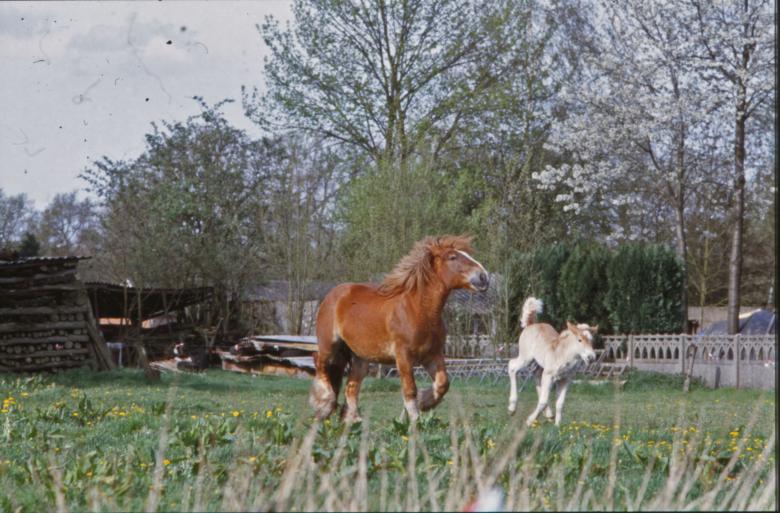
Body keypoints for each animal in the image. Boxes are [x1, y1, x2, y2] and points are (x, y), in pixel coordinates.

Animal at [310, 235, 490, 422]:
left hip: (360, 357)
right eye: (452, 257)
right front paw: (414, 420)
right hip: (329, 345)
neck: (419, 311)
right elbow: (410, 390)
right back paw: (324, 404)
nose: (484, 276)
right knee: (319, 363)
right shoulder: (403, 357)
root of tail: (332, 295)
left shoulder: (433, 356)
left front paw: (423, 403)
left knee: (351, 387)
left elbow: (442, 384)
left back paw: (354, 420)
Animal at [507, 297, 597, 426]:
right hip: (526, 357)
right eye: (579, 340)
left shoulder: (565, 380)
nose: (591, 357)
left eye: (592, 340)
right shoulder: (549, 375)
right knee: (512, 366)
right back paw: (512, 408)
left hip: (539, 366)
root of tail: (531, 324)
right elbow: (543, 401)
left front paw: (558, 426)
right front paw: (529, 420)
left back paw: (549, 414)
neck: (563, 356)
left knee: (537, 377)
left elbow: (560, 403)